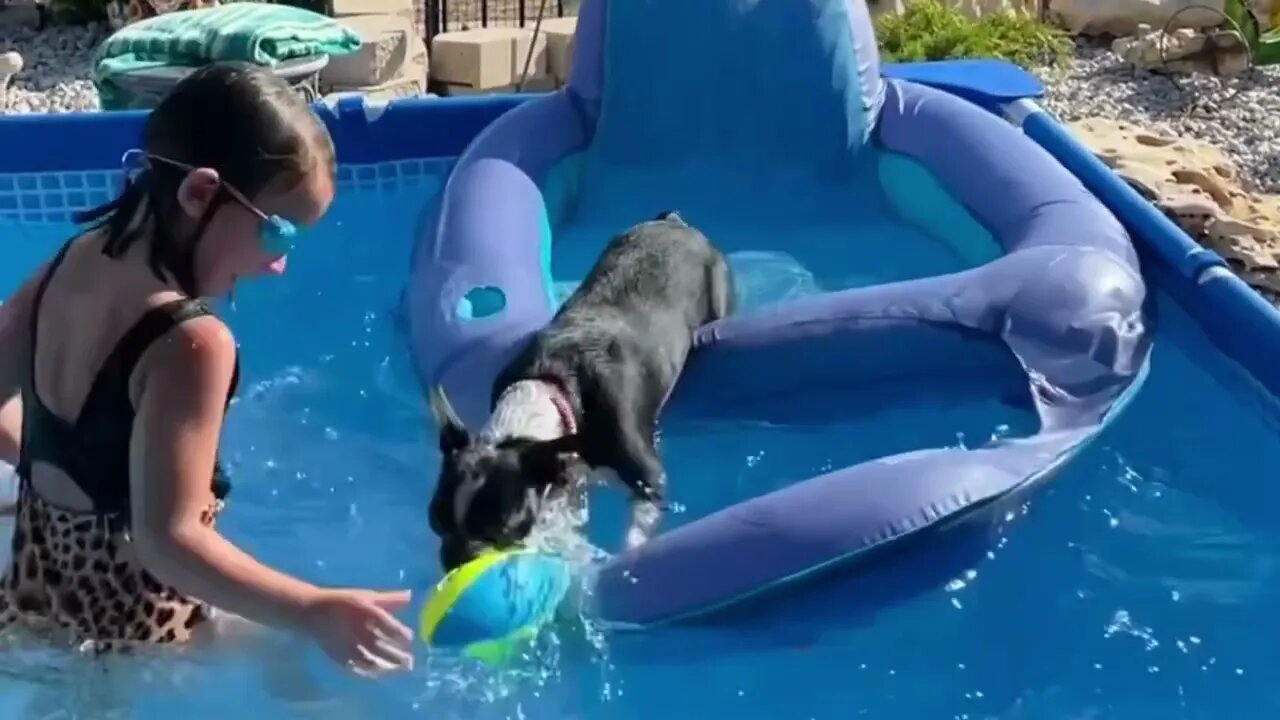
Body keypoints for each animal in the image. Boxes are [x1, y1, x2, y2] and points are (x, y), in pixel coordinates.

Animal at [427, 210, 737, 568]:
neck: (551, 387)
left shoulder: (649, 477)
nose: (456, 558)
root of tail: (673, 222)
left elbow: (637, 529)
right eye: (434, 520)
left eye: (501, 528)